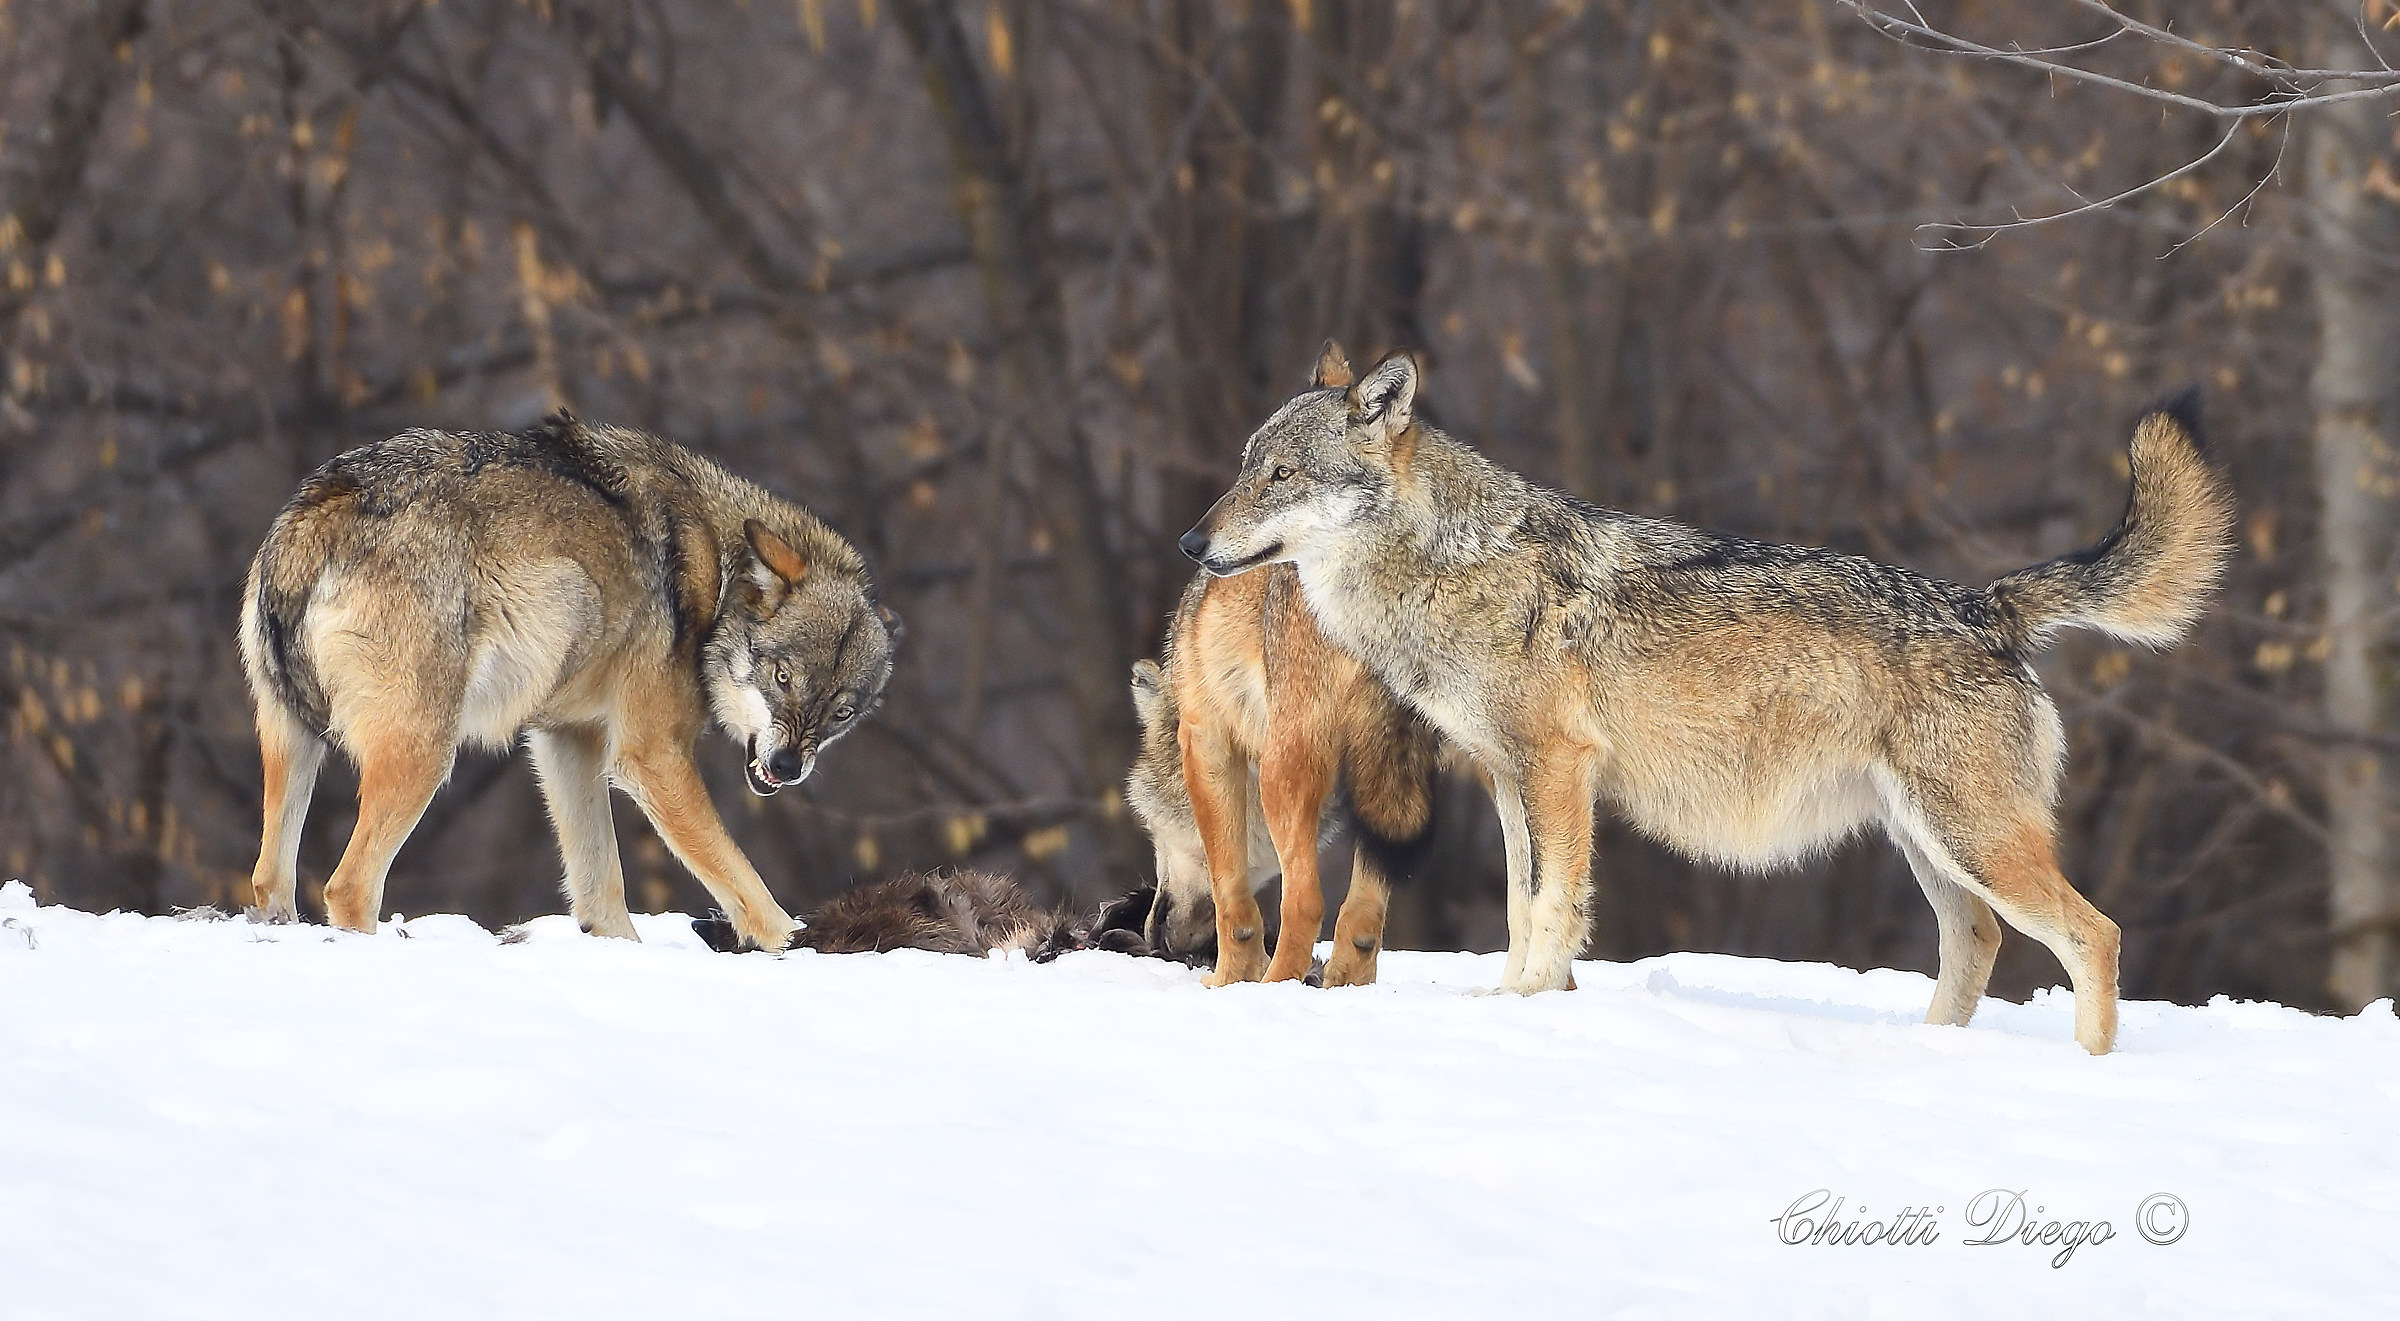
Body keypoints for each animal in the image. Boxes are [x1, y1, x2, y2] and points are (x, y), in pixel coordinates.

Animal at [239, 410, 898, 952]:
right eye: (783, 676)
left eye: (841, 712)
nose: (788, 767)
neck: (713, 573)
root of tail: (322, 507)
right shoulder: (650, 756)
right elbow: (744, 880)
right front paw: (801, 945)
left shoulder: (569, 742)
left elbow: (601, 888)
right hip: (426, 755)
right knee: (348, 886)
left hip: (293, 741)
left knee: (269, 879)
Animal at [1125, 547, 1438, 988]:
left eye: (1152, 828)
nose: (1152, 932)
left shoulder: (1205, 739)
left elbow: (1231, 900)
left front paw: (1228, 980)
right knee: (1361, 922)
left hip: (1282, 771)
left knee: (1306, 905)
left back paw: (1276, 984)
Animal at [1180, 343, 2234, 1053]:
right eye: (1241, 466)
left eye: (1281, 474)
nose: (1192, 542)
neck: (1451, 566)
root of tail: (1988, 603)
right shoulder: (1510, 781)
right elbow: (1521, 907)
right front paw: (1507, 1005)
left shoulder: (1558, 771)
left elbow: (1551, 906)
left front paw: (1528, 1009)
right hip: (1929, 845)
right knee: (1974, 942)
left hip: (1972, 839)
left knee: (2094, 934)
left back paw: (2087, 1069)